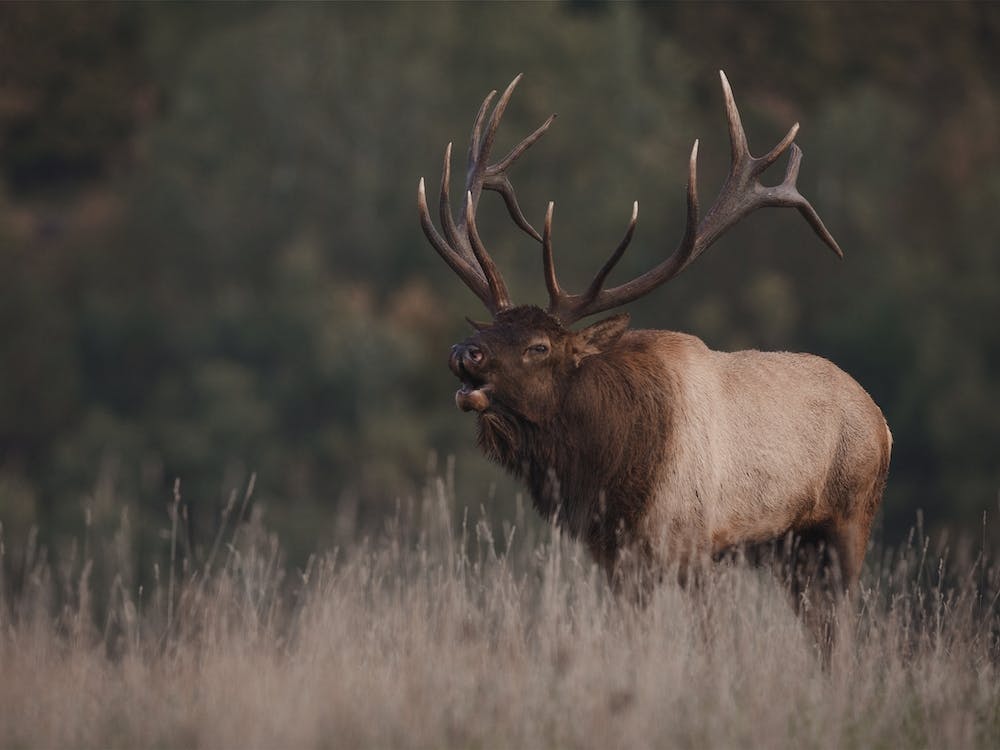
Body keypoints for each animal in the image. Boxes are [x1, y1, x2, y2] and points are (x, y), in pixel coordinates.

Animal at [417, 72, 891, 611]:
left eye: (540, 346)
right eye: (485, 330)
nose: (464, 352)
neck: (611, 474)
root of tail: (883, 423)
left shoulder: (696, 545)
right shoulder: (615, 557)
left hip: (849, 520)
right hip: (792, 551)